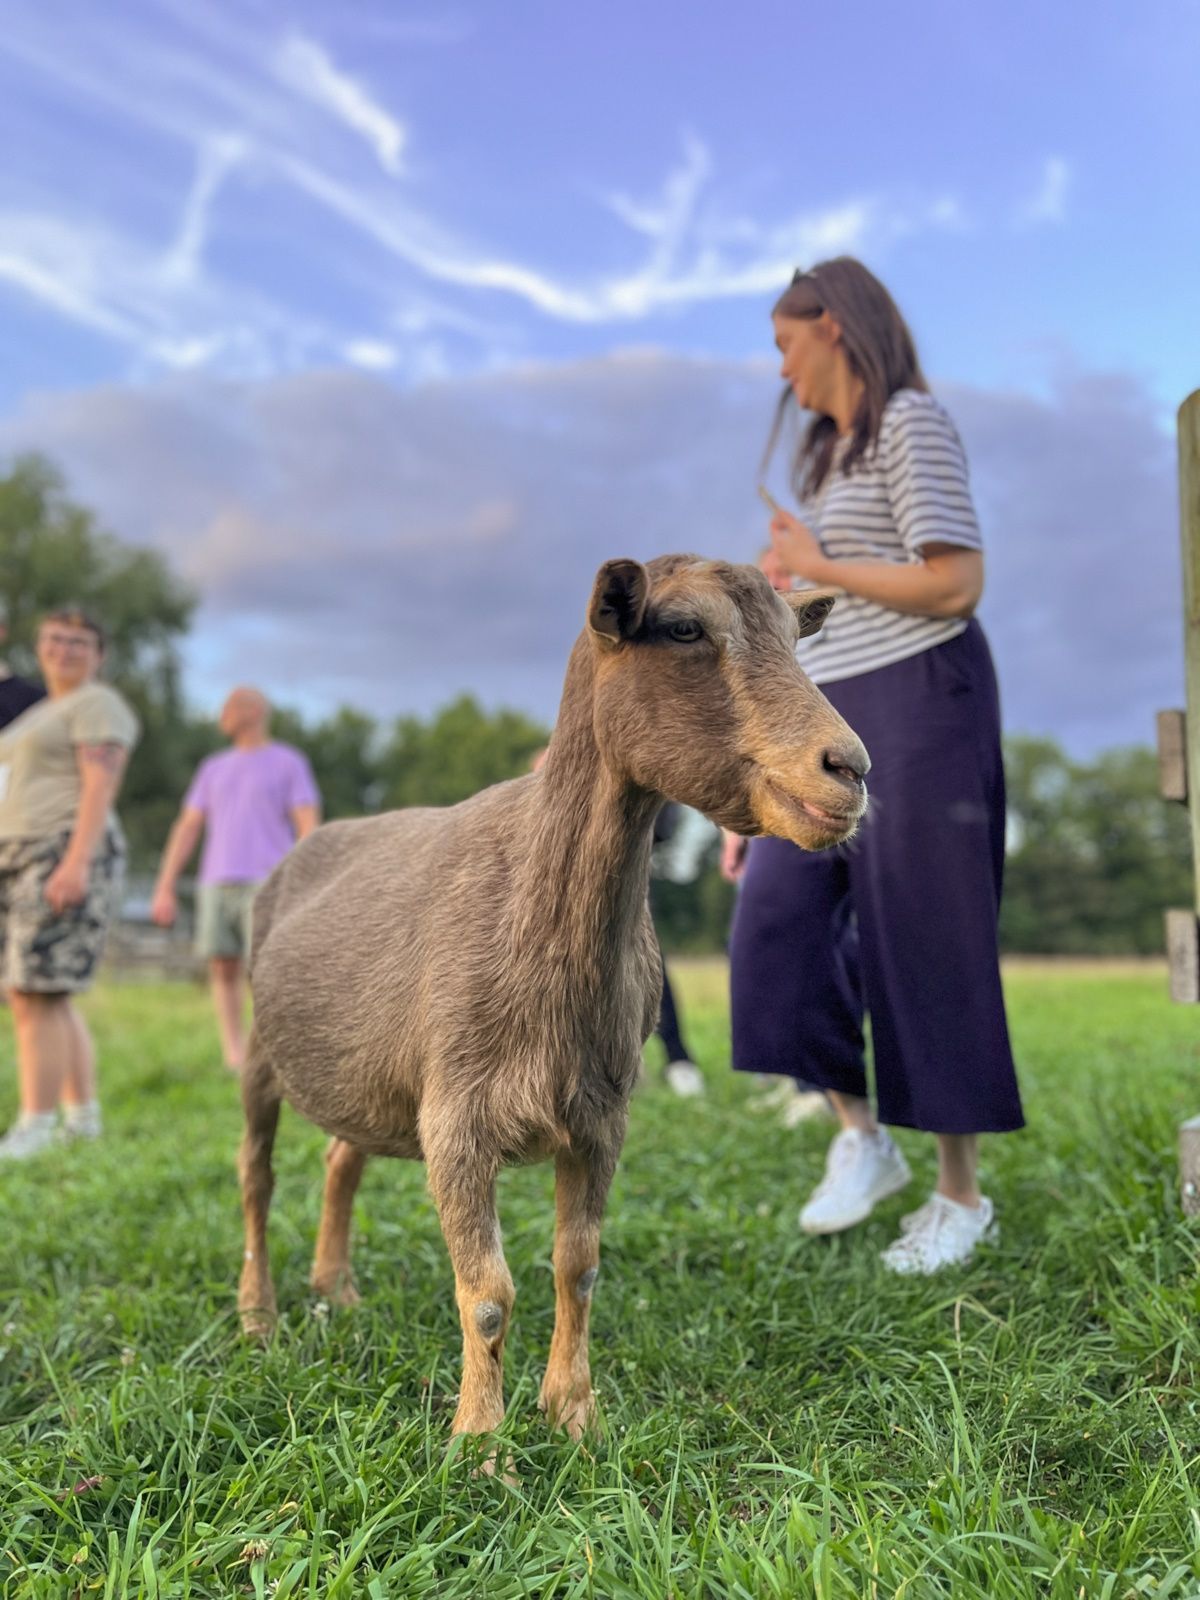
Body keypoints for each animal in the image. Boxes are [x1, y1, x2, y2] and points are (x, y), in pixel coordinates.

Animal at [237, 554, 869, 1448]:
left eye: (793, 634)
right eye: (684, 628)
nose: (849, 769)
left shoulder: (600, 1114)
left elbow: (580, 1263)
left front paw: (574, 1415)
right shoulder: (457, 1116)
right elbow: (488, 1292)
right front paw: (480, 1445)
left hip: (368, 1071)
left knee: (340, 1159)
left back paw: (338, 1291)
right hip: (261, 1051)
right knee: (255, 1175)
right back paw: (258, 1317)